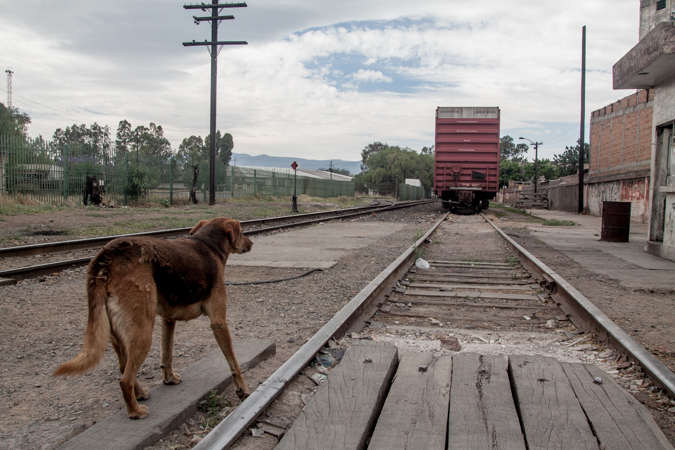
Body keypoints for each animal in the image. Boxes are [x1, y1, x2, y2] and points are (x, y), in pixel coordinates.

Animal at [53, 217, 254, 418]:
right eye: (242, 231)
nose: (251, 243)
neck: (207, 244)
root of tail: (105, 259)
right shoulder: (219, 322)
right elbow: (234, 363)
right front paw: (243, 389)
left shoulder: (168, 319)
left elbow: (167, 354)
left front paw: (169, 378)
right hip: (143, 333)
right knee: (125, 380)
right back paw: (135, 411)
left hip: (117, 334)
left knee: (124, 369)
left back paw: (140, 394)